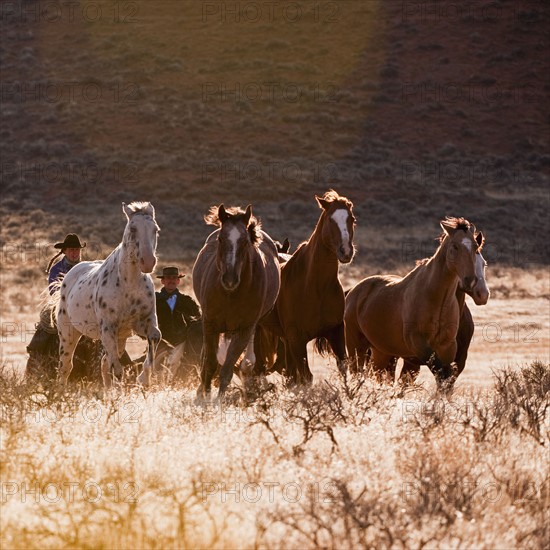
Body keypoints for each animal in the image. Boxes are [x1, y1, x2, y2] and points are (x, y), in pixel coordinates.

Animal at [56, 202, 162, 388]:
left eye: (155, 229)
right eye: (133, 228)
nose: (148, 262)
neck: (129, 284)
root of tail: (70, 275)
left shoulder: (143, 322)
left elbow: (156, 337)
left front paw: (144, 379)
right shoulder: (108, 328)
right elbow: (118, 371)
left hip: (119, 338)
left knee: (104, 364)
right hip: (69, 333)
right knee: (66, 367)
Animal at [193, 203, 280, 402]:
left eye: (245, 242)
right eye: (220, 239)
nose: (229, 279)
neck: (230, 294)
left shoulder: (244, 329)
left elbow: (227, 369)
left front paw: (218, 402)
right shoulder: (210, 324)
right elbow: (210, 364)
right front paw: (204, 398)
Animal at [258, 192, 358, 386]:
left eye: (352, 219)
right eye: (330, 220)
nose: (345, 252)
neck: (315, 286)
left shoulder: (336, 332)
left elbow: (343, 369)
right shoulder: (297, 339)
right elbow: (306, 377)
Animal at [348, 217, 480, 392]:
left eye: (476, 247)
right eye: (455, 246)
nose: (470, 280)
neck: (437, 300)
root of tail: (354, 291)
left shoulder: (448, 347)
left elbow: (446, 379)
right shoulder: (418, 344)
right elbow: (440, 373)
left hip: (381, 351)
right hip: (356, 347)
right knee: (356, 373)